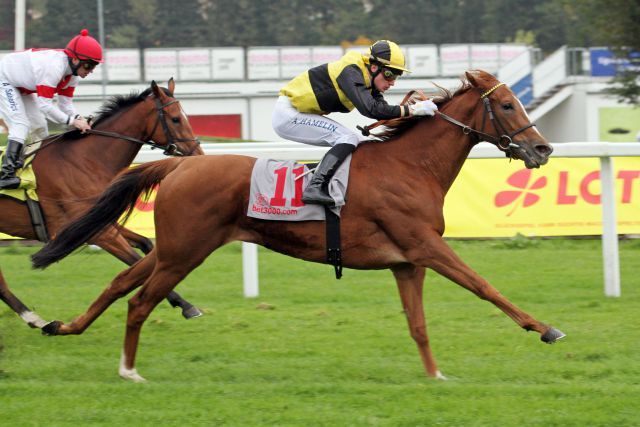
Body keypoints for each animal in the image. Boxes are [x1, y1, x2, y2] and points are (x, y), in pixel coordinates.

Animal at [0, 77, 204, 332]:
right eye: (176, 118)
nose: (198, 155)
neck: (84, 160)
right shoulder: (98, 233)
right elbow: (134, 262)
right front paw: (185, 304)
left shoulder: (100, 221)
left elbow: (146, 244)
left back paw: (35, 319)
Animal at [32, 70, 564, 382]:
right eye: (510, 106)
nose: (543, 149)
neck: (411, 166)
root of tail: (180, 165)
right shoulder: (426, 246)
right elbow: (484, 286)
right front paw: (545, 328)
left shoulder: (407, 262)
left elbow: (418, 324)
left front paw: (435, 377)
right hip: (186, 251)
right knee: (140, 300)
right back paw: (128, 370)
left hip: (173, 248)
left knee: (121, 281)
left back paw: (64, 326)